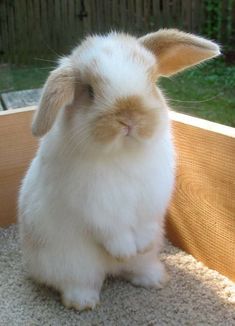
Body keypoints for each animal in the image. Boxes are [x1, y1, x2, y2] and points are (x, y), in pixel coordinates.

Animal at [17, 28, 218, 310]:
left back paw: (155, 279)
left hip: (146, 254)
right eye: (89, 91)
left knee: (135, 268)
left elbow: (144, 223)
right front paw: (124, 251)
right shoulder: (95, 206)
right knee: (80, 282)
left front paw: (139, 247)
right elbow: (113, 230)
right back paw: (83, 302)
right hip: (72, 264)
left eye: (152, 82)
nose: (128, 117)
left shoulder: (152, 198)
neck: (123, 153)